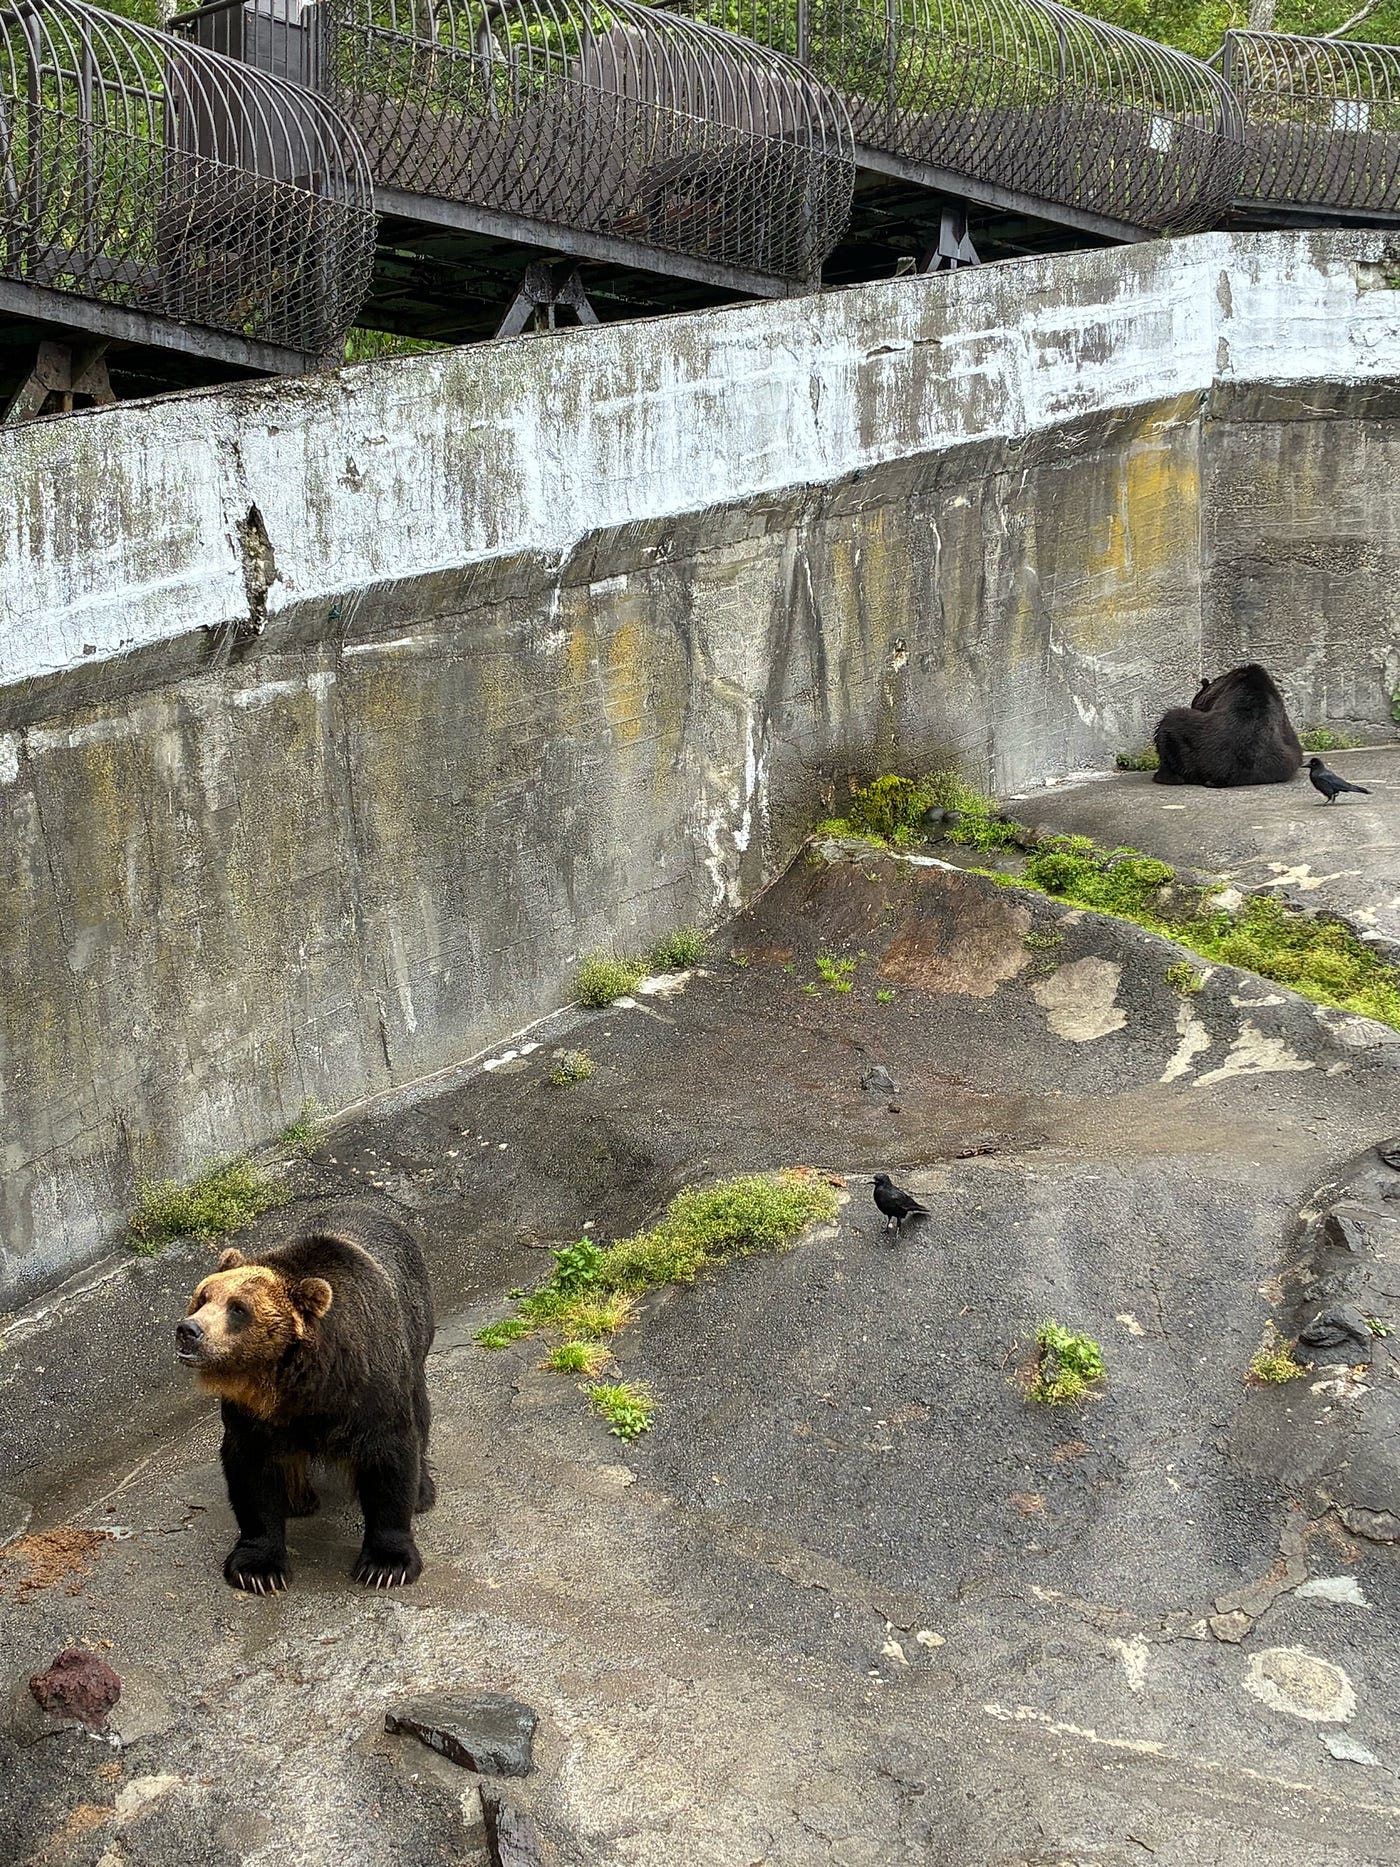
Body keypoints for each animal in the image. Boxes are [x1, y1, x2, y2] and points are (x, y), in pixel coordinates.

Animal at [176, 1198, 435, 1594]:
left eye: (238, 1308)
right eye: (202, 1297)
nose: (188, 1331)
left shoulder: (367, 1385)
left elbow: (389, 1455)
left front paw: (386, 1564)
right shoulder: (253, 1412)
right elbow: (251, 1470)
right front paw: (259, 1569)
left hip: (415, 1335)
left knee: (420, 1410)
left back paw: (422, 1490)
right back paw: (295, 1497)